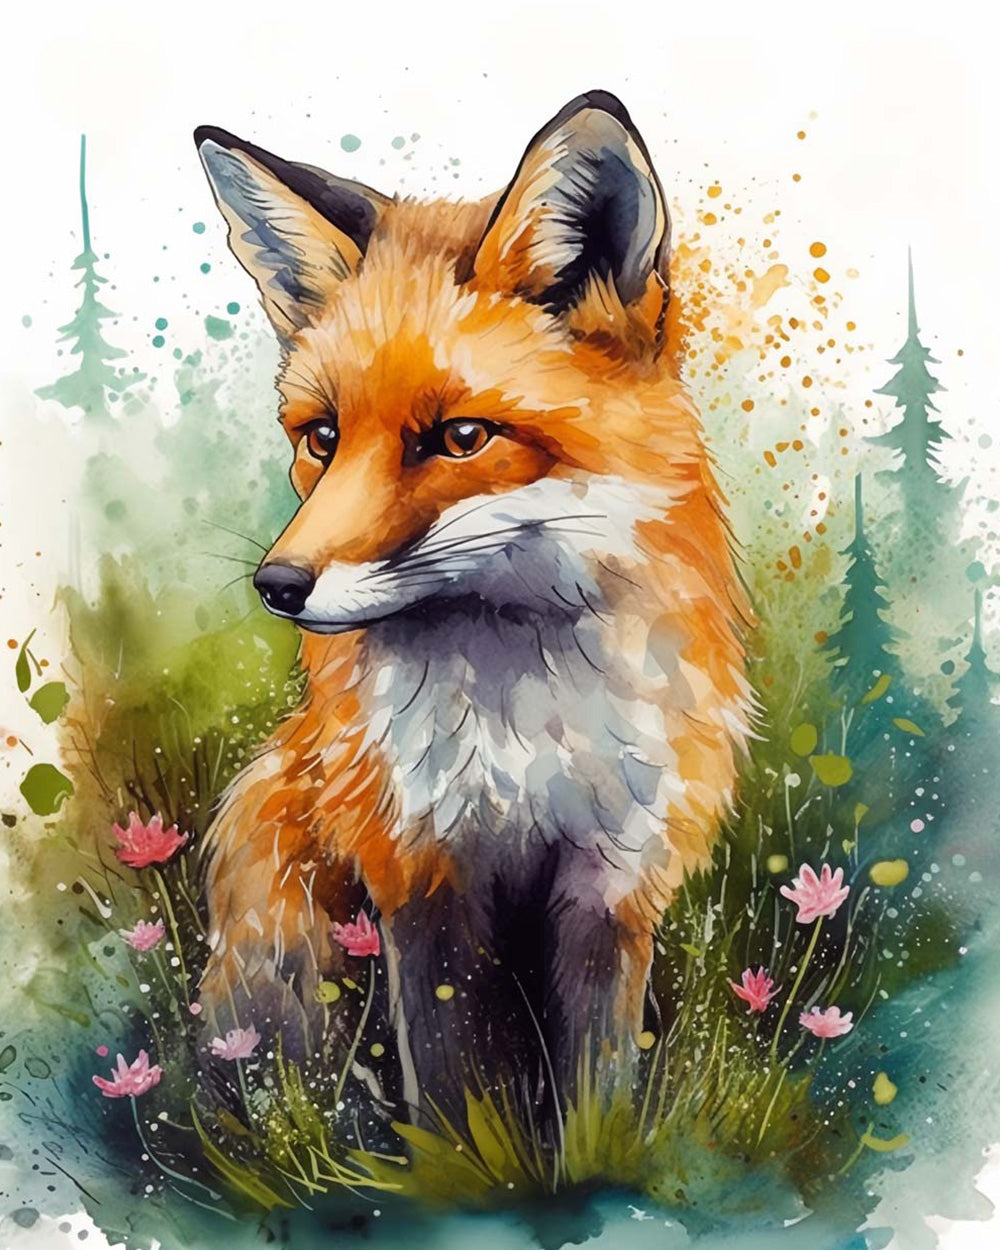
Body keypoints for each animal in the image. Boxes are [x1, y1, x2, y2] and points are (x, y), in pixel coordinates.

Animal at [193, 90, 753, 1118]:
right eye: (322, 438)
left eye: (460, 438)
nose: (278, 586)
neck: (524, 723)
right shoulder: (421, 874)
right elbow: (455, 1087)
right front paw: (466, 1161)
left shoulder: (612, 882)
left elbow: (596, 1091)